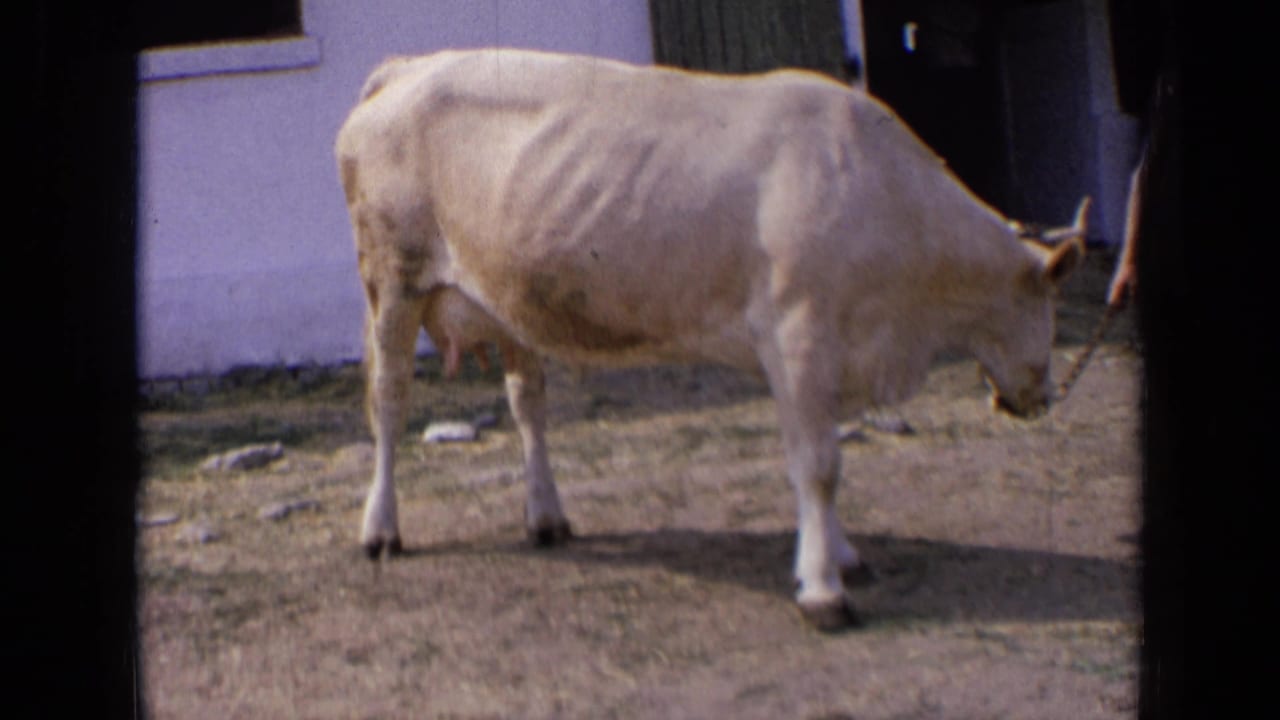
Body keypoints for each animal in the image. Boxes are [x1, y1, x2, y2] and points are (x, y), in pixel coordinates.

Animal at [335, 48, 1087, 631]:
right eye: (1049, 303)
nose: (1043, 394)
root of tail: (408, 68)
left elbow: (824, 457)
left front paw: (843, 557)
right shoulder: (798, 333)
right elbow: (818, 464)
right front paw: (824, 590)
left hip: (506, 290)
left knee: (528, 403)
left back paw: (546, 517)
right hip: (392, 279)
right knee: (390, 404)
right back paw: (381, 530)